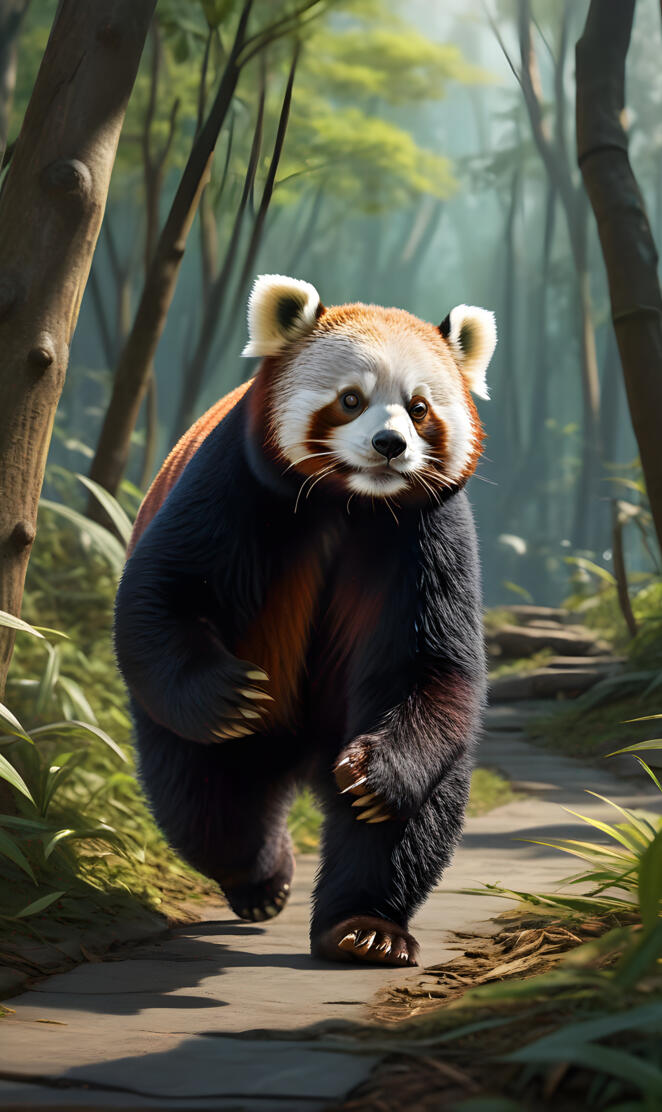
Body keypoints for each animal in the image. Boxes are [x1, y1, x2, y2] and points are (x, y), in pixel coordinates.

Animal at [114, 275, 496, 967]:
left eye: (419, 408)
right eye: (351, 400)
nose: (390, 446)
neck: (351, 502)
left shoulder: (426, 531)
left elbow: (429, 666)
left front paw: (373, 774)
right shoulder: (236, 484)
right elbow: (165, 595)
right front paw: (230, 694)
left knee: (410, 814)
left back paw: (365, 927)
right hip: (195, 735)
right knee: (207, 800)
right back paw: (262, 880)